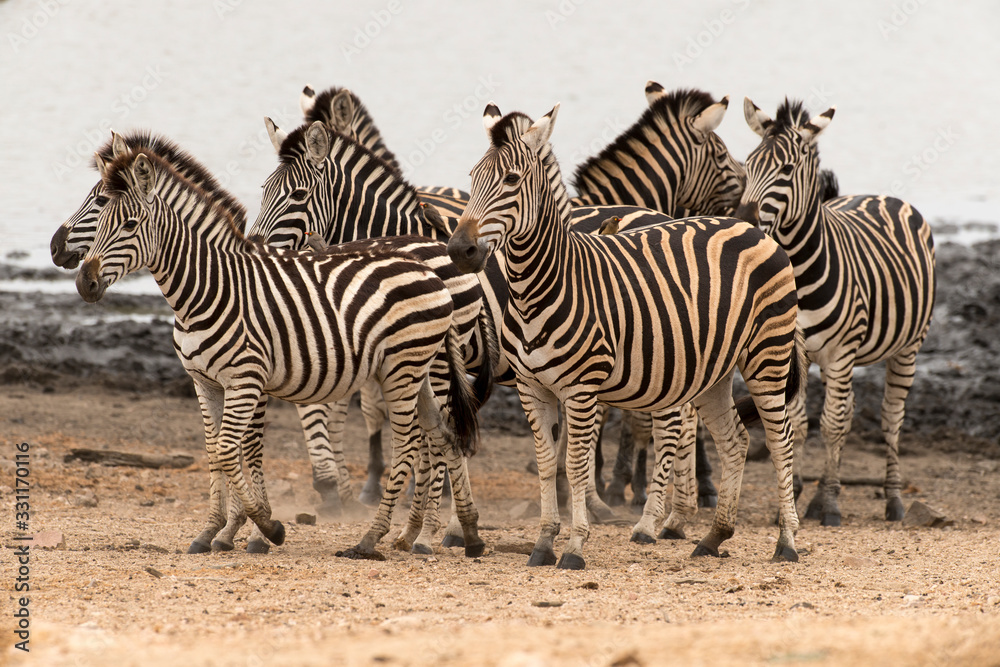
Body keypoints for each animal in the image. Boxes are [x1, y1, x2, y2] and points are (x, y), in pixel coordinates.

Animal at [76, 147, 491, 560]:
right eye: (99, 219)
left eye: (129, 224)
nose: (84, 282)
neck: (207, 290)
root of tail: (432, 270)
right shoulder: (205, 383)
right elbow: (214, 451)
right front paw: (212, 531)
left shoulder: (246, 380)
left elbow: (231, 450)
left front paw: (265, 527)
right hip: (421, 367)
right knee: (443, 434)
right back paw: (457, 534)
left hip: (403, 369)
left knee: (408, 444)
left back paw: (372, 539)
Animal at [448, 102, 804, 569]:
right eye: (472, 176)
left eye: (510, 180)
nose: (460, 251)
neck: (536, 288)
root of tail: (751, 229)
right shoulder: (531, 387)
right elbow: (545, 463)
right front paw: (543, 543)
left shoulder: (581, 388)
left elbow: (575, 464)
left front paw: (575, 546)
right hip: (715, 368)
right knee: (735, 440)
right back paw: (713, 536)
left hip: (766, 355)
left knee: (779, 441)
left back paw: (786, 541)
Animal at [735, 98, 936, 526]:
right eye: (748, 164)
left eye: (786, 169)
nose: (742, 221)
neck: (802, 270)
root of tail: (882, 196)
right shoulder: (795, 351)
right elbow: (799, 423)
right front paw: (795, 495)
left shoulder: (841, 352)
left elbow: (831, 425)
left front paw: (828, 504)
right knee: (850, 409)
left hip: (908, 347)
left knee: (890, 418)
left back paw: (894, 499)